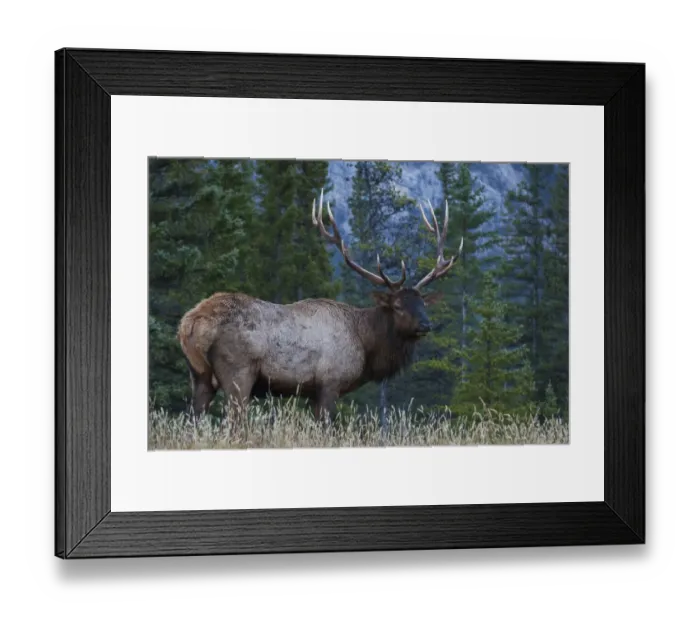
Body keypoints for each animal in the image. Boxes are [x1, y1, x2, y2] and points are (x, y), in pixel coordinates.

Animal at [177, 189, 463, 424]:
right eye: (398, 306)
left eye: (422, 303)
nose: (426, 324)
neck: (366, 344)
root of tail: (191, 322)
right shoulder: (330, 382)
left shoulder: (312, 392)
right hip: (238, 372)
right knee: (232, 422)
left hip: (199, 375)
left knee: (193, 419)